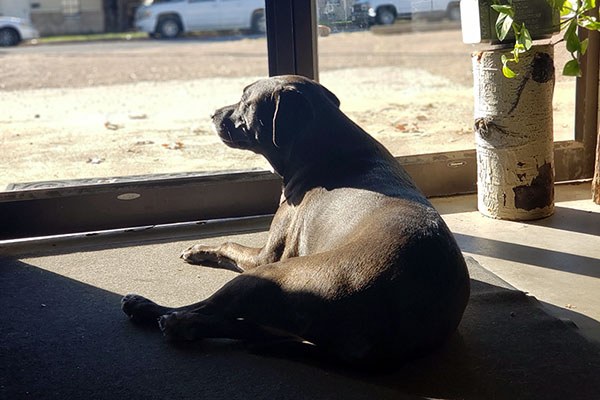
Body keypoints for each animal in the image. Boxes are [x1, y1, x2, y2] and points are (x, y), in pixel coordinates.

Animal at [120, 73, 468, 368]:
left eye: (246, 100)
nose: (213, 114)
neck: (324, 145)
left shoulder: (266, 256)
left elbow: (229, 244)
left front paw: (198, 249)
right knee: (242, 327)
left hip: (269, 277)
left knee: (207, 309)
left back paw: (158, 313)